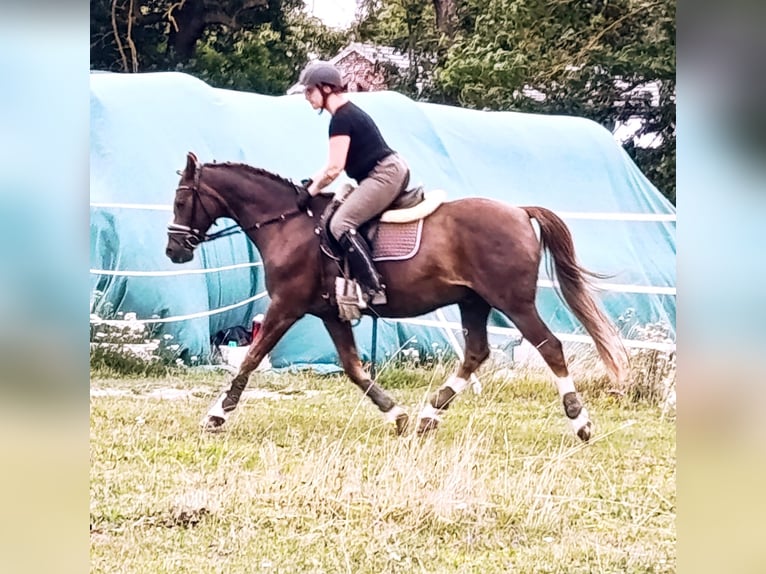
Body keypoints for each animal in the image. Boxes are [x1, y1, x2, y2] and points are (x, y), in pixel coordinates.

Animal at [165, 152, 628, 441]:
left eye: (181, 199)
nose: (174, 250)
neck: (289, 224)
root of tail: (519, 211)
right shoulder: (330, 313)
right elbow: (354, 368)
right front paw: (397, 414)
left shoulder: (286, 306)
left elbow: (250, 359)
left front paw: (216, 414)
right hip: (473, 302)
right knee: (476, 353)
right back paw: (428, 415)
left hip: (513, 302)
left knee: (549, 347)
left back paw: (580, 422)